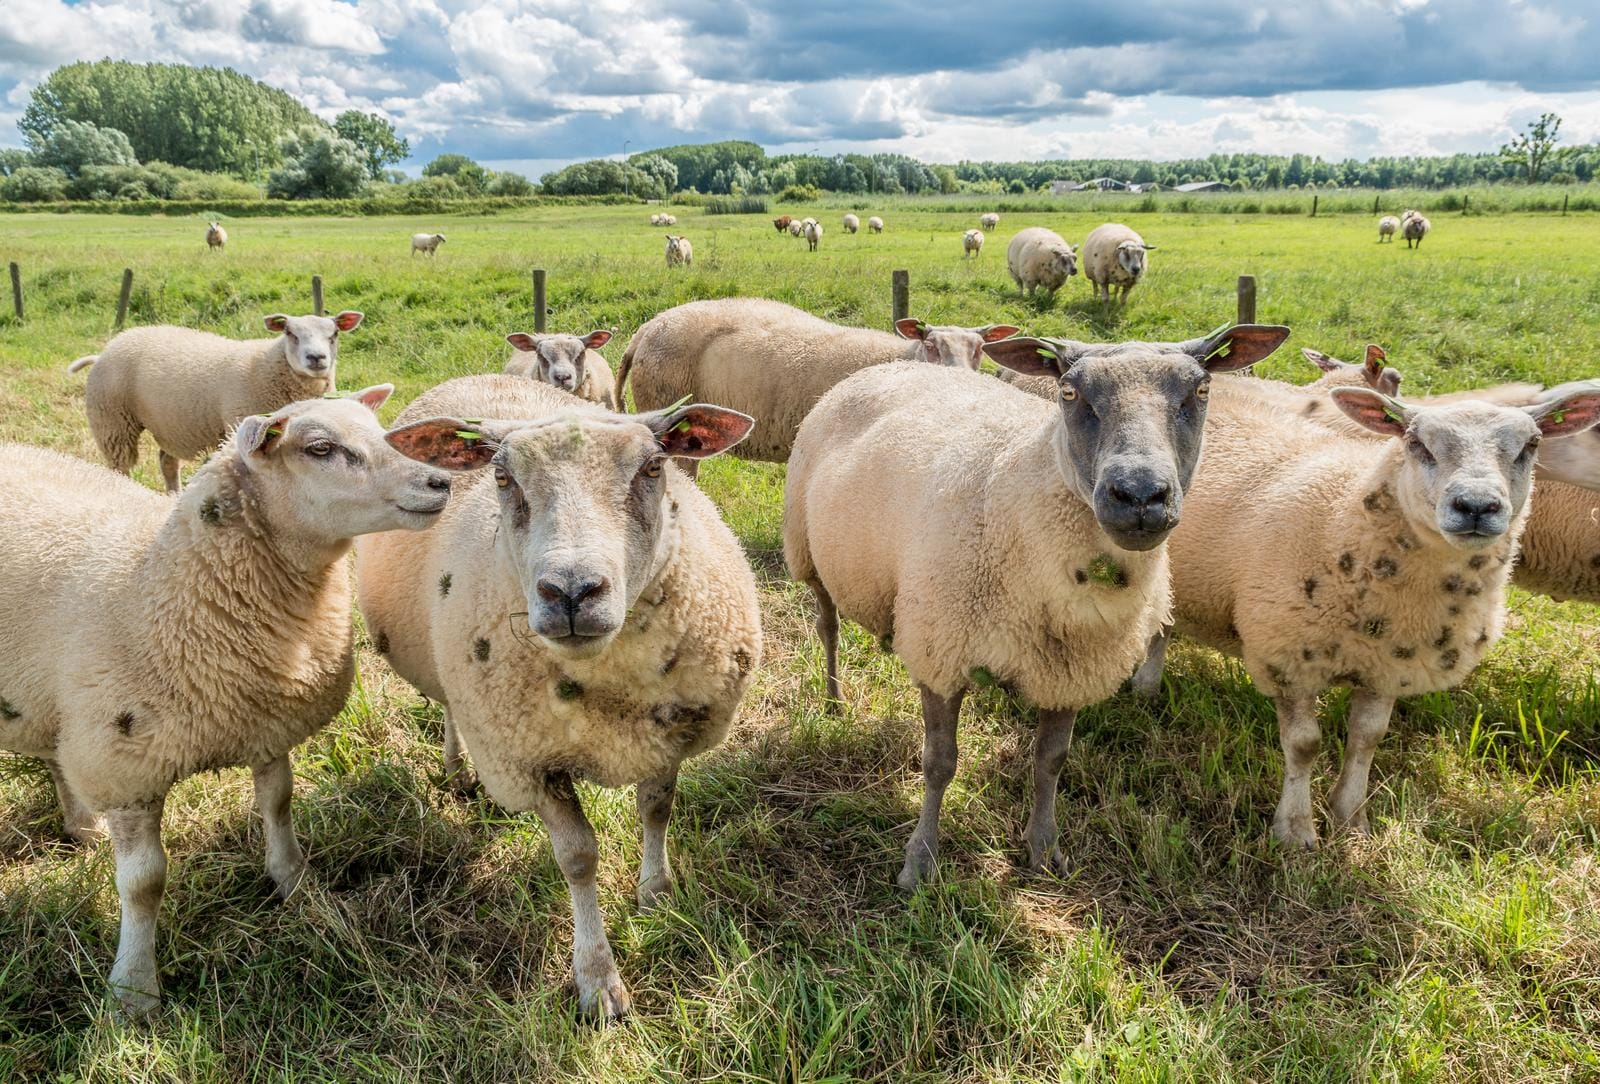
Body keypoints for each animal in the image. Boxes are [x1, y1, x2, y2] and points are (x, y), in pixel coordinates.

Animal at [0, 386, 455, 1016]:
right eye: (320, 448)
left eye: (383, 431)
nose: (440, 482)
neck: (164, 584)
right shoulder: (124, 764)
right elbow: (143, 884)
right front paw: (134, 990)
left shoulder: (267, 721)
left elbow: (279, 806)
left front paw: (295, 883)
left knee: (51, 752)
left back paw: (83, 828)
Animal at [68, 311, 365, 493]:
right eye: (290, 333)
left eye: (334, 334)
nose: (316, 358)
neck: (268, 365)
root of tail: (103, 352)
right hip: (113, 422)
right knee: (120, 466)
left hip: (171, 423)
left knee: (167, 461)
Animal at [354, 373, 762, 1019]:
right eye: (502, 477)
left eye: (654, 467)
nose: (571, 592)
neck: (606, 678)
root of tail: (476, 377)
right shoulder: (531, 762)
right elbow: (578, 858)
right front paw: (597, 980)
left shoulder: (667, 733)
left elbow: (657, 810)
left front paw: (656, 894)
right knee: (449, 708)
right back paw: (457, 770)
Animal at [783, 324, 1290, 888]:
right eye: (1068, 393)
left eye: (1201, 391)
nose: (1139, 495)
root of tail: (891, 365)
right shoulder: (944, 651)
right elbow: (940, 764)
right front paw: (920, 860)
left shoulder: (1071, 668)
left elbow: (1052, 760)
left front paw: (1044, 849)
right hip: (806, 547)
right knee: (827, 625)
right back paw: (833, 699)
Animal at [1129, 381, 1600, 847]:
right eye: (1416, 443)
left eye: (1531, 445)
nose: (1477, 506)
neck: (1342, 514)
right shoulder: (1288, 656)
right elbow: (1304, 745)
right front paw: (1296, 832)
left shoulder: (1389, 664)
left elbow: (1367, 740)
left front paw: (1351, 819)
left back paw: (1146, 690)